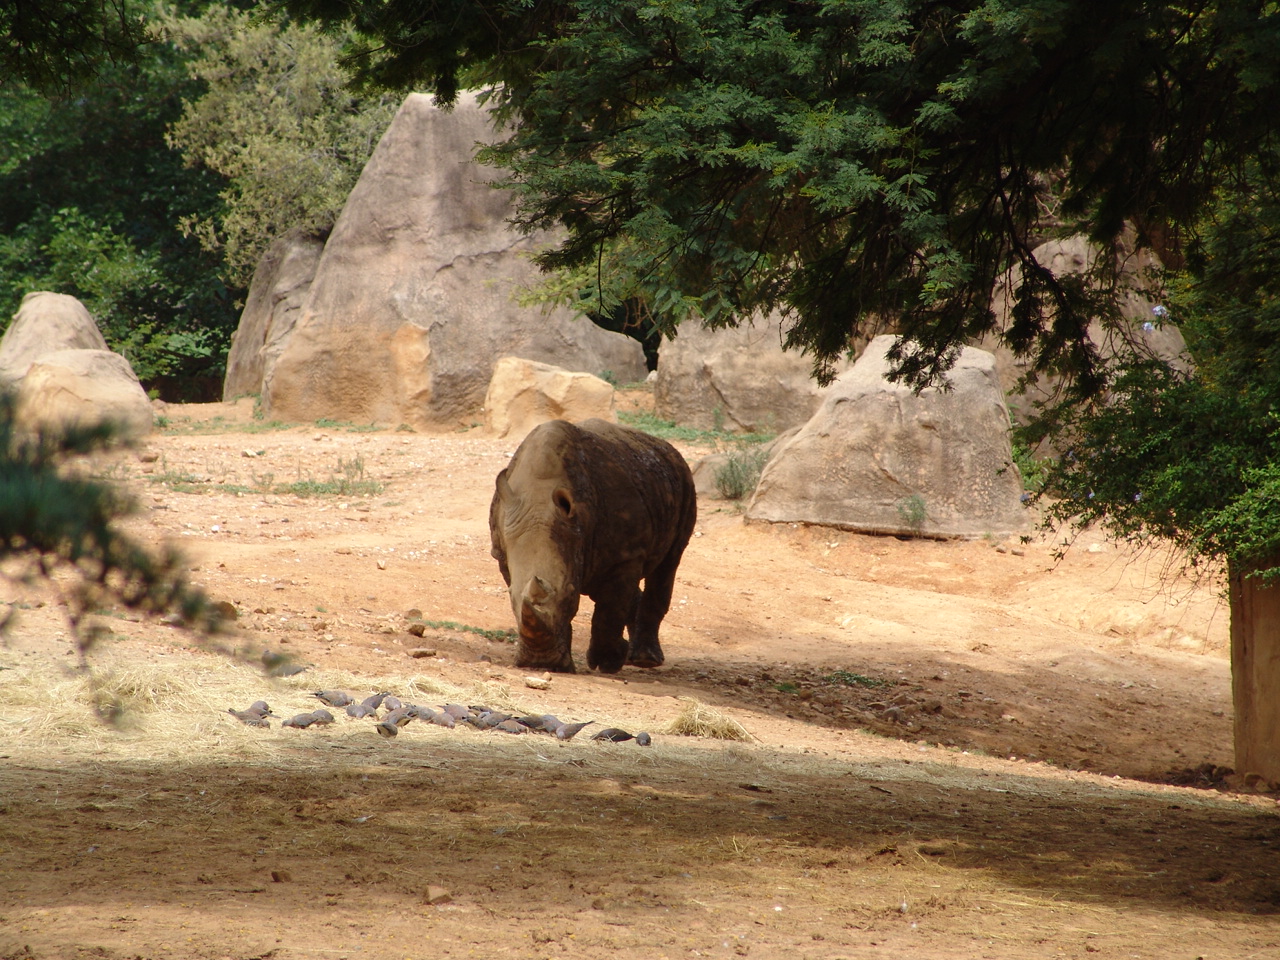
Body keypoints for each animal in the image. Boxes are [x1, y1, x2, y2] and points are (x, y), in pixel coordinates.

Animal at [489, 418, 697, 673]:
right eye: (510, 597)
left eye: (571, 594)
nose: (538, 663)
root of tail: (666, 446)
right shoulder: (502, 552)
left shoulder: (626, 556)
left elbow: (609, 611)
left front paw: (607, 663)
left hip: (684, 482)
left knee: (669, 563)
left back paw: (645, 660)